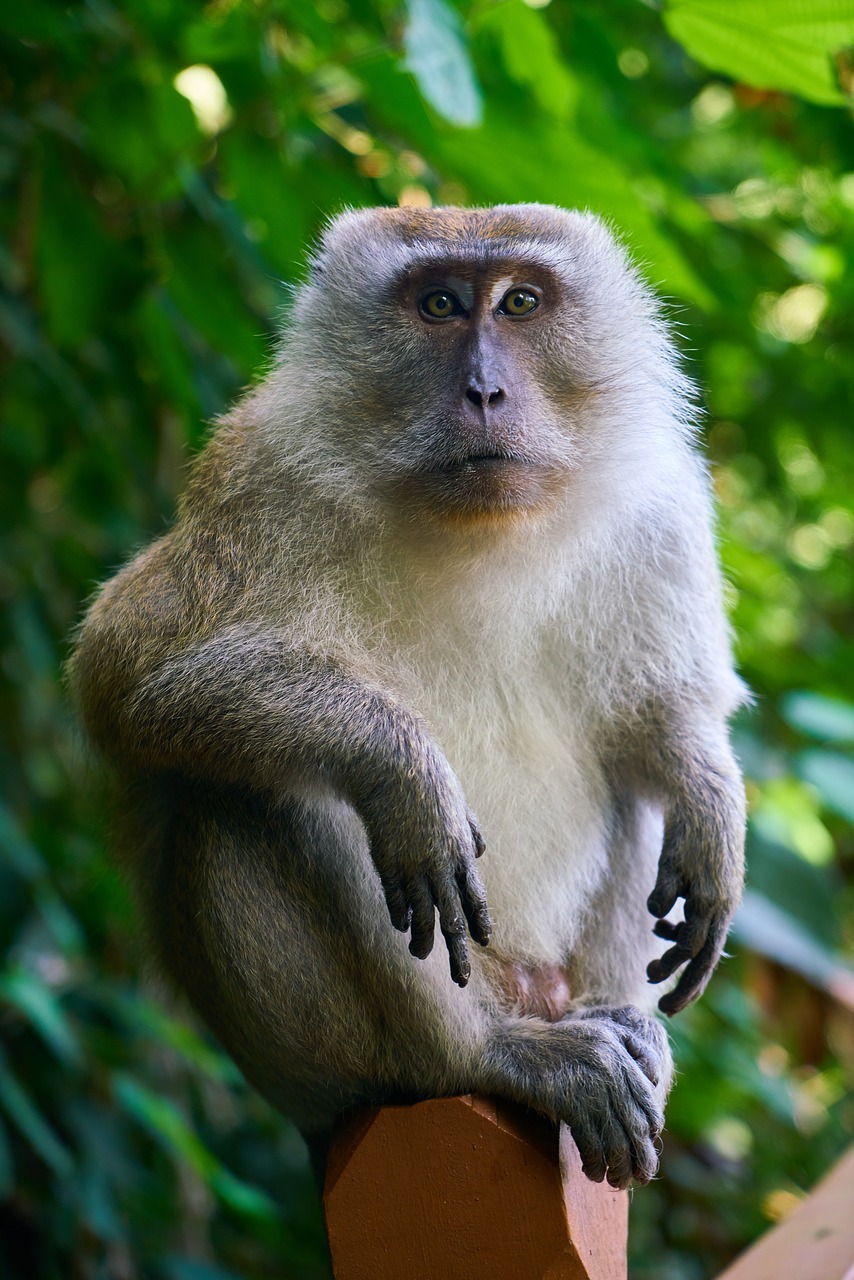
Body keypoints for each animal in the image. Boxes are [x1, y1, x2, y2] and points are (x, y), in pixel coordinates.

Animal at [70, 199, 742, 1187]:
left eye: (520, 302)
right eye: (438, 304)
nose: (485, 392)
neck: (480, 528)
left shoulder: (660, 505)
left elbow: (660, 712)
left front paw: (711, 804)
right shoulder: (260, 481)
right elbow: (125, 677)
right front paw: (402, 768)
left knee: (627, 780)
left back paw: (621, 1027)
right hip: (325, 1069)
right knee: (250, 794)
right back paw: (488, 1056)